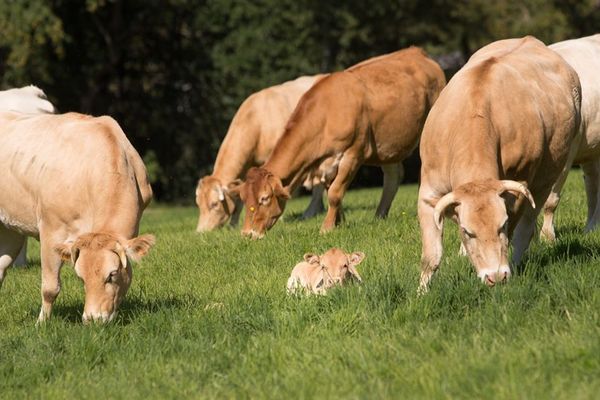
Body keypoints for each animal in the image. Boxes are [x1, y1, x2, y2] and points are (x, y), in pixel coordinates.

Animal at [0, 111, 155, 324]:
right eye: (81, 277)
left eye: (112, 274)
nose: (93, 319)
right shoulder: (51, 230)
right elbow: (50, 287)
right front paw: (41, 324)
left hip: (10, 228)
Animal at [196, 74, 328, 231]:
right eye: (199, 205)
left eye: (214, 204)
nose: (201, 232)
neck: (257, 122)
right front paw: (233, 225)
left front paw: (279, 219)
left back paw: (310, 212)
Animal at [230, 48, 446, 239]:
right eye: (243, 198)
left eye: (264, 198)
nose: (247, 234)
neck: (326, 113)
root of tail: (416, 52)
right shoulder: (326, 163)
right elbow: (331, 190)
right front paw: (339, 223)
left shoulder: (354, 153)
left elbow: (335, 192)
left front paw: (326, 228)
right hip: (389, 146)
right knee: (393, 177)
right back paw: (379, 216)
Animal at [418, 36, 580, 290]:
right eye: (467, 231)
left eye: (501, 225)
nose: (495, 276)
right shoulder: (429, 191)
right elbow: (431, 257)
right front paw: (422, 292)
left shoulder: (518, 189)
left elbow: (515, 231)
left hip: (548, 178)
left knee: (526, 229)